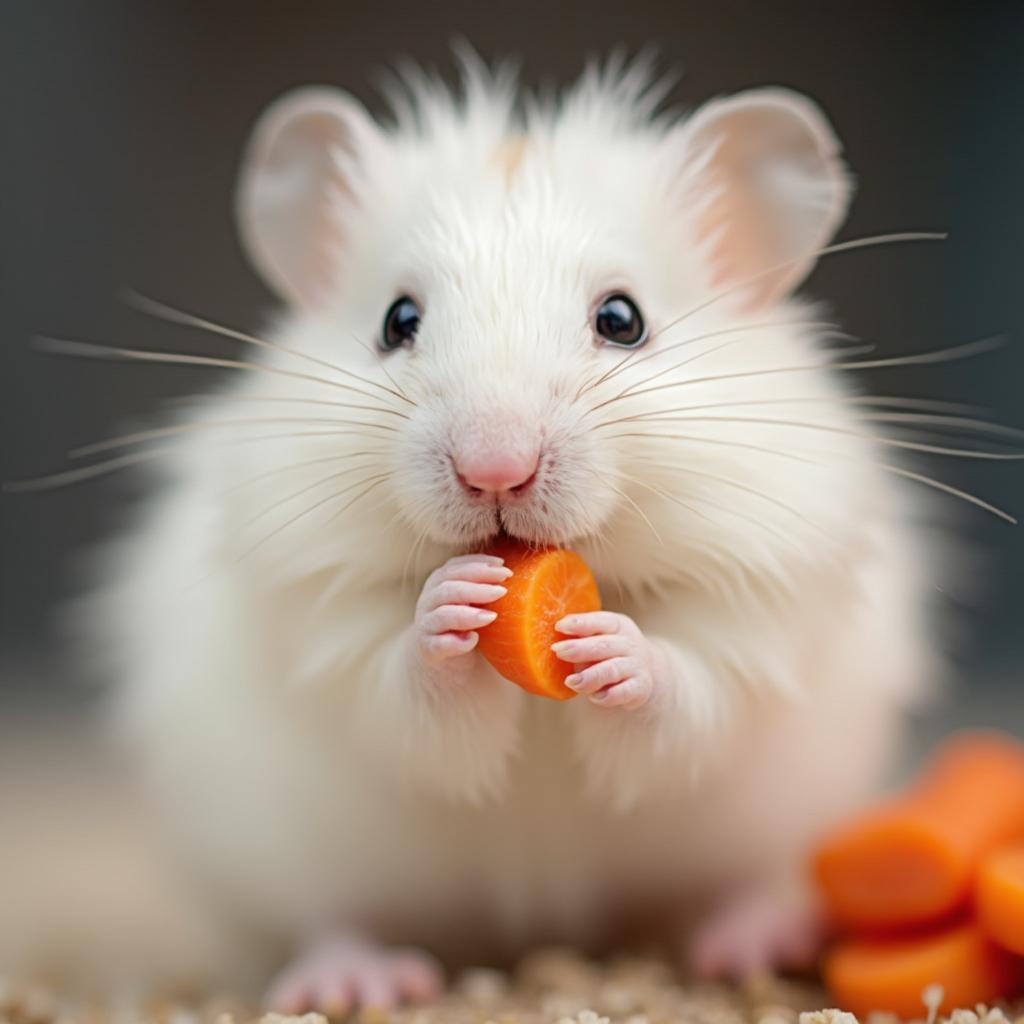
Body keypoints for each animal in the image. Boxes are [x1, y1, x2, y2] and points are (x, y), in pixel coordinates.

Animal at [83, 54, 937, 1007]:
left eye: (622, 319)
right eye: (397, 321)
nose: (494, 469)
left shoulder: (762, 603)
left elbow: (690, 690)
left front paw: (607, 644)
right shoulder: (321, 615)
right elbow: (400, 687)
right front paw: (457, 600)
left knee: (747, 880)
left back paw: (754, 943)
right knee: (323, 920)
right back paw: (358, 982)